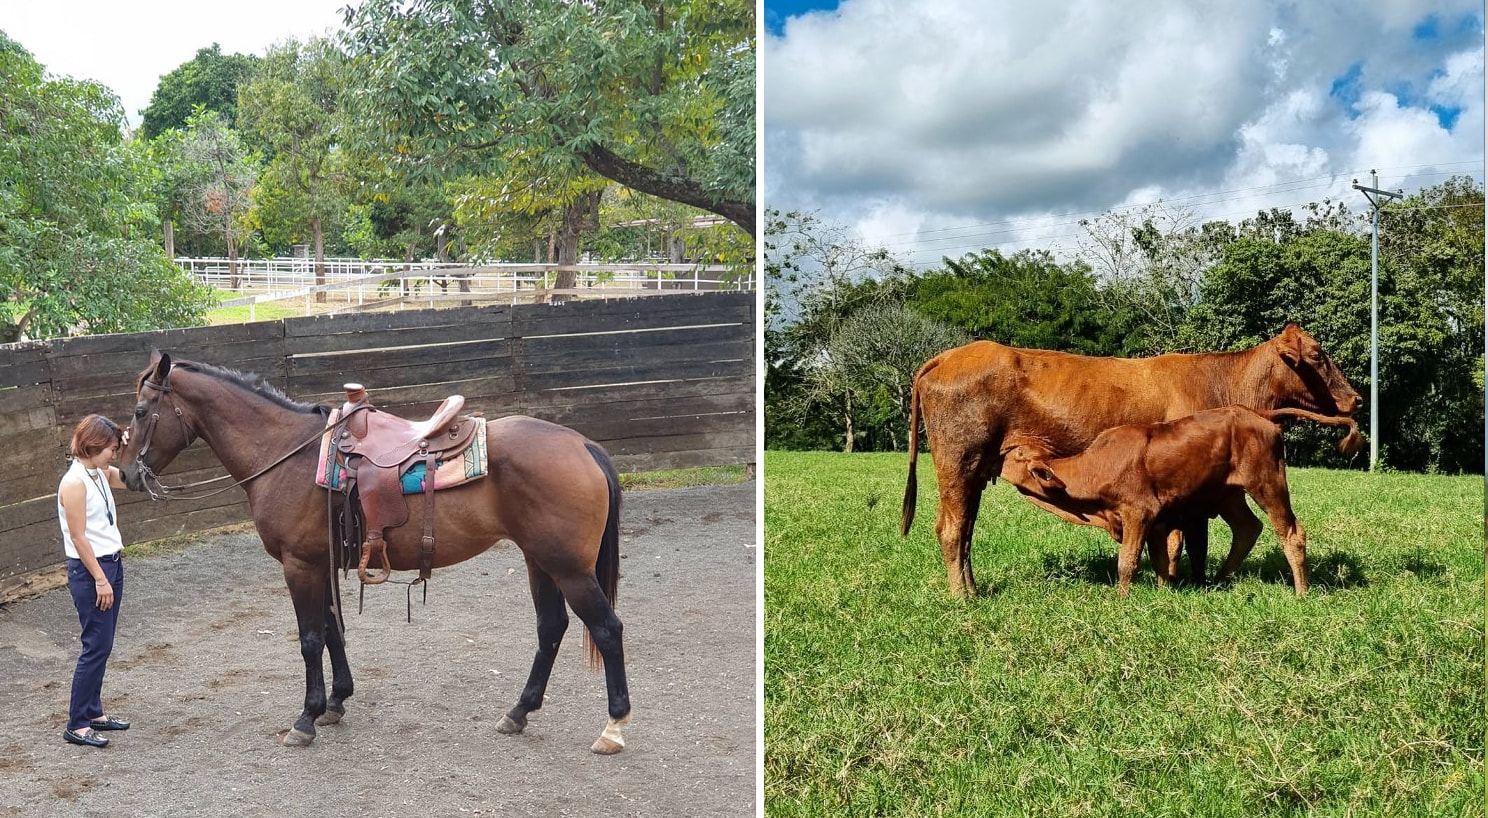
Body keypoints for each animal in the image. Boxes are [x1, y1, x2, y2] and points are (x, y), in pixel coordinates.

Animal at [114, 352, 627, 755]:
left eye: (140, 411)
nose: (127, 475)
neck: (286, 453)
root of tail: (583, 444)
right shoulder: (318, 563)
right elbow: (332, 631)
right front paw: (336, 701)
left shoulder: (299, 566)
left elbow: (310, 638)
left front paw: (306, 718)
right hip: (539, 560)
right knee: (551, 628)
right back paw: (518, 711)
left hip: (569, 568)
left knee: (606, 629)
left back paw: (614, 727)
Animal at [999, 407, 1363, 597]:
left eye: (1017, 455)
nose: (999, 452)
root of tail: (1258, 414)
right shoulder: (1158, 520)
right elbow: (1161, 559)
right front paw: (1163, 593)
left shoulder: (1138, 511)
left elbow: (1127, 562)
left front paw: (1121, 599)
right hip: (1227, 494)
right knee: (1248, 528)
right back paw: (1218, 579)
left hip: (1267, 483)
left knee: (1290, 533)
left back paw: (1301, 592)